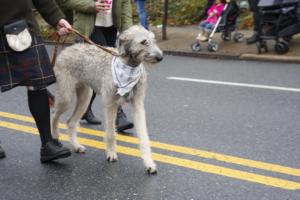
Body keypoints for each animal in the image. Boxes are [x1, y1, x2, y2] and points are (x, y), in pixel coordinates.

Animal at [52, 25, 164, 174]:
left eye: (153, 40)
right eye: (144, 42)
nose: (160, 57)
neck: (129, 66)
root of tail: (66, 49)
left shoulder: (138, 105)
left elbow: (144, 136)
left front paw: (149, 163)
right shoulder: (110, 104)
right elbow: (111, 133)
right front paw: (111, 153)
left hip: (85, 97)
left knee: (71, 122)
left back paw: (76, 145)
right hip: (65, 97)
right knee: (54, 114)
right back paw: (55, 135)